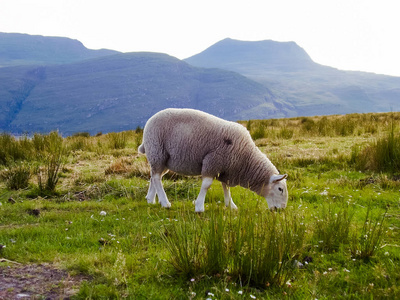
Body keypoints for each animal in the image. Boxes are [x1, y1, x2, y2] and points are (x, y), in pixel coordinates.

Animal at [138, 108, 288, 211]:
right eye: (280, 189)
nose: (281, 210)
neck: (245, 157)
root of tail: (150, 119)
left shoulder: (225, 168)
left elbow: (225, 187)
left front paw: (230, 205)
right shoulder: (212, 161)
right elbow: (206, 185)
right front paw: (199, 207)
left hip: (161, 159)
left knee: (154, 176)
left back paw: (150, 199)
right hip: (157, 151)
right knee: (157, 178)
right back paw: (165, 203)